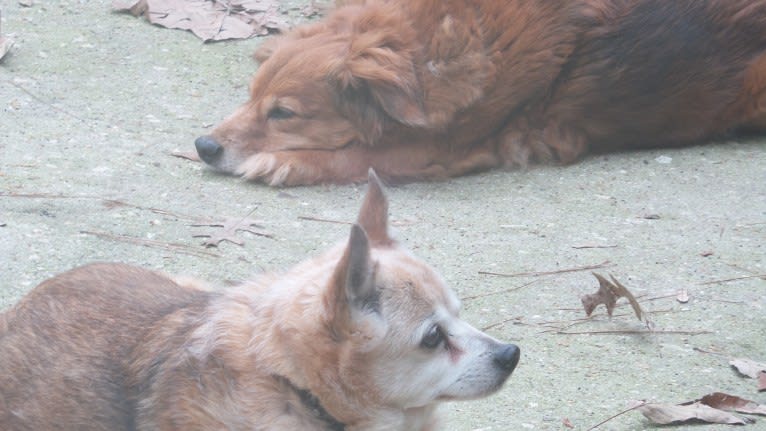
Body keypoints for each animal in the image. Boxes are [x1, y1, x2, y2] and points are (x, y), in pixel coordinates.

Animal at [195, 0, 766, 186]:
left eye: (284, 114)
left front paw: (285, 163)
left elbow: (359, 156)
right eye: (250, 97)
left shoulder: (443, 148)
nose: (204, 146)